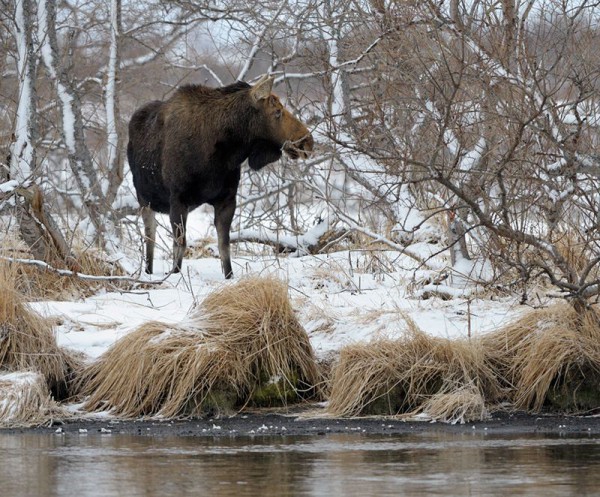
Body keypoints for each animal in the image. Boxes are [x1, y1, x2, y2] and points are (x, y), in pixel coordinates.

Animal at [127, 76, 314, 280]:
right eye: (277, 111)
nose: (307, 142)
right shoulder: (178, 199)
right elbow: (179, 245)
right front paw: (174, 275)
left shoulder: (227, 199)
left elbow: (224, 245)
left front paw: (229, 276)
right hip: (144, 200)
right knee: (149, 236)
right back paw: (147, 271)